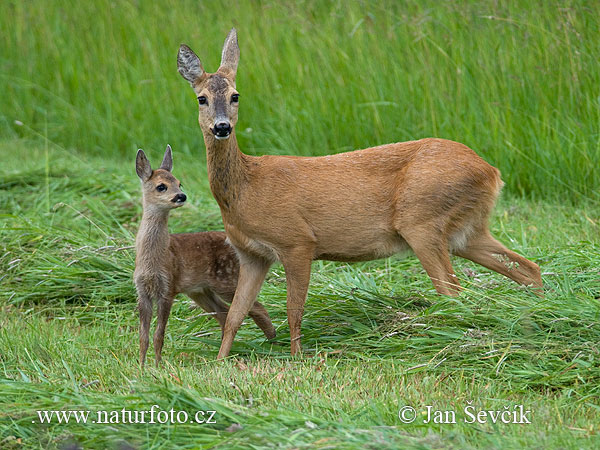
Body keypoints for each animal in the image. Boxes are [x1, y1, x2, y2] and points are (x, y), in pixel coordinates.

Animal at [135, 146, 276, 368]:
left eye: (179, 183)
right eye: (161, 186)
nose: (181, 196)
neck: (153, 259)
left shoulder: (168, 288)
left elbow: (159, 334)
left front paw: (157, 365)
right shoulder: (142, 291)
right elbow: (143, 336)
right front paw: (141, 365)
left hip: (226, 280)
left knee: (255, 308)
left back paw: (273, 342)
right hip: (201, 291)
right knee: (224, 313)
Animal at [175, 28, 544, 358]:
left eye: (236, 95)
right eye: (201, 98)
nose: (222, 127)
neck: (246, 188)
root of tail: (491, 172)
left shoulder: (297, 241)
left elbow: (294, 308)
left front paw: (297, 359)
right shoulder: (252, 254)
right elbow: (234, 315)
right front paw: (221, 362)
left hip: (422, 220)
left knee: (453, 290)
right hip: (466, 231)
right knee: (528, 269)